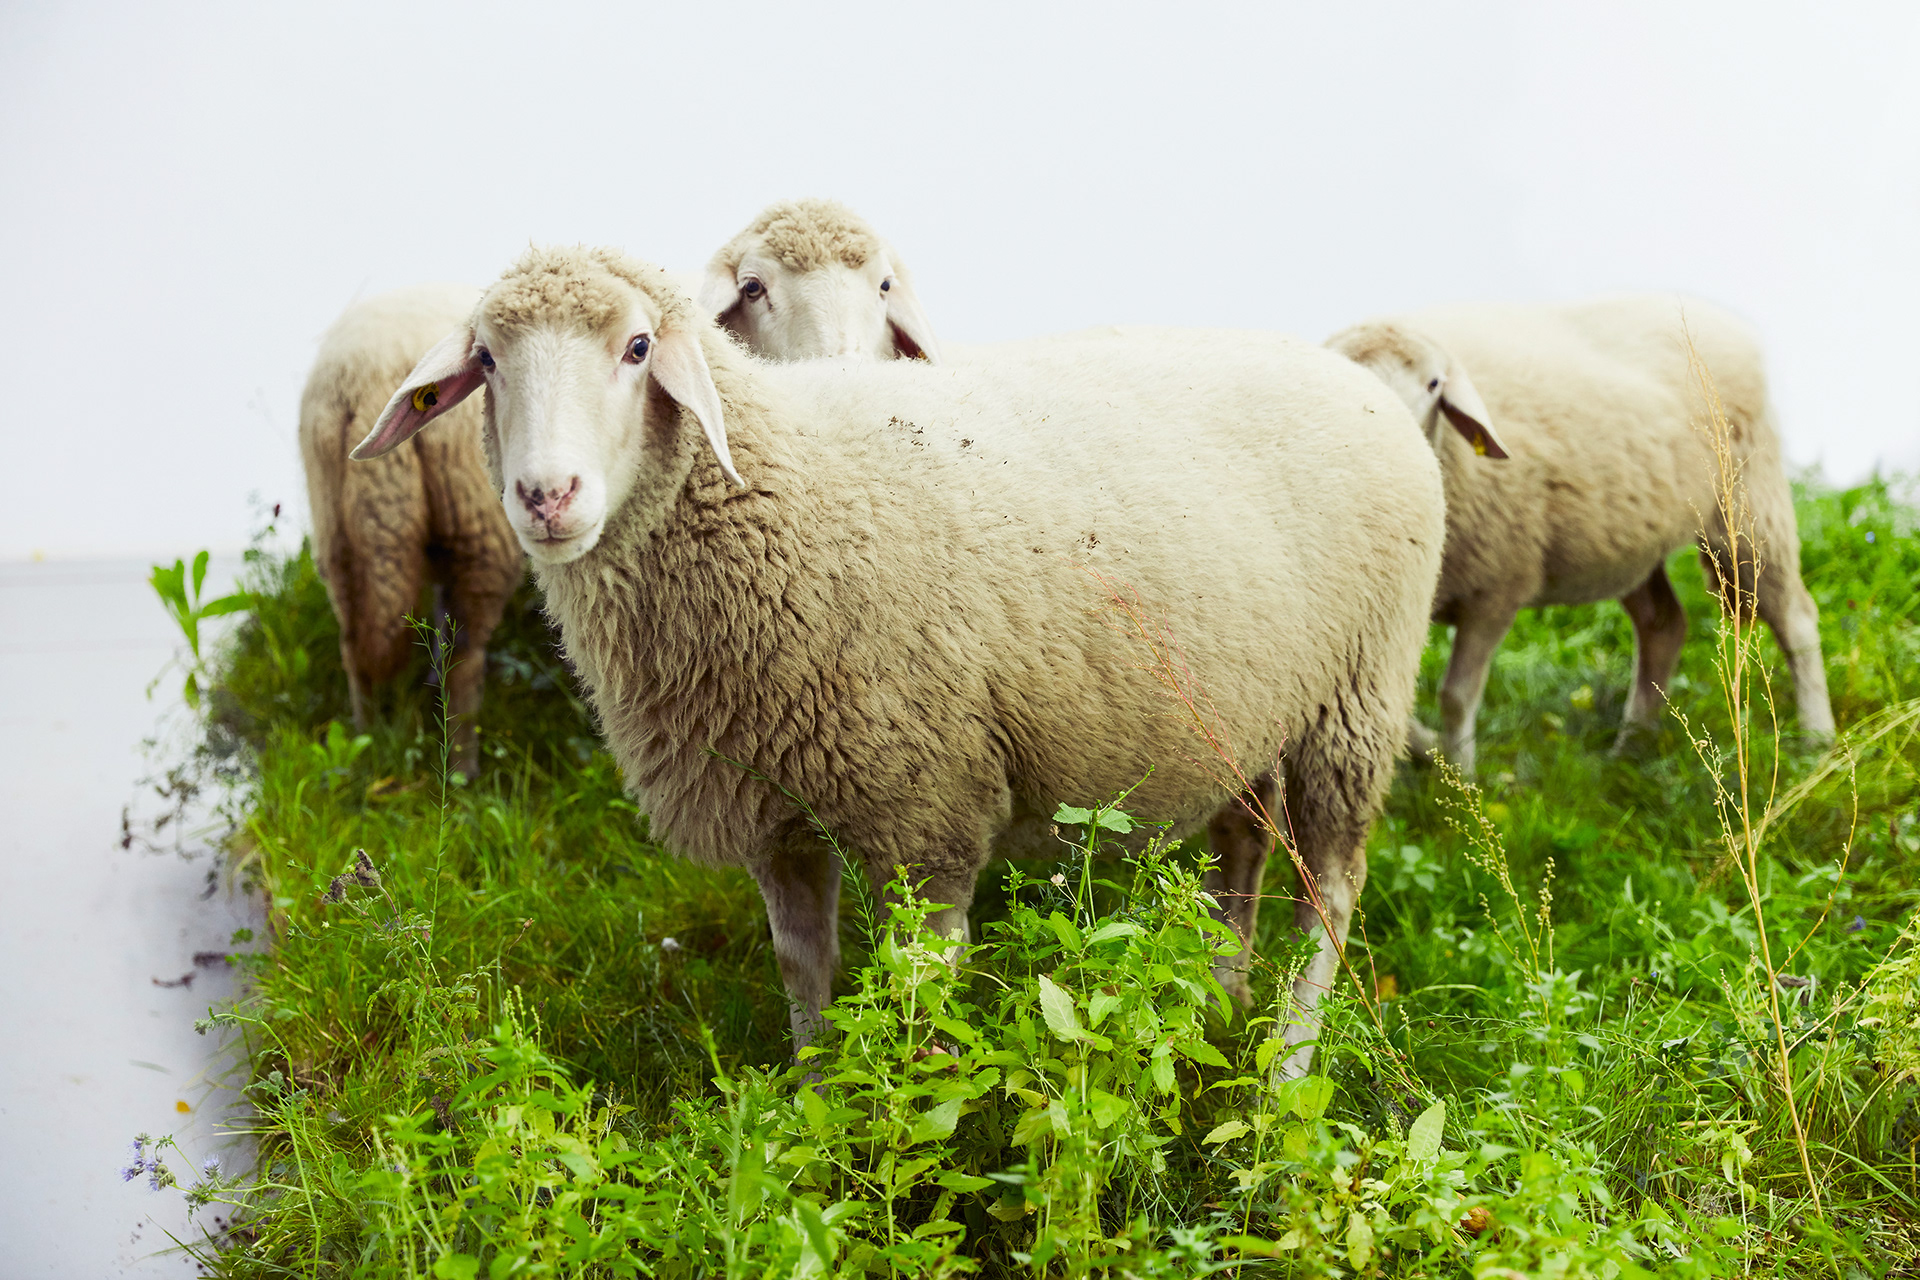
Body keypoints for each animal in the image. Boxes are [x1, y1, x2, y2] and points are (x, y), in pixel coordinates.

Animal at [299, 200, 935, 774]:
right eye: (753, 288)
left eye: (884, 286)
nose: (843, 369)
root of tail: (357, 373)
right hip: (470, 532)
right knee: (464, 656)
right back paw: (461, 772)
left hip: (342, 527)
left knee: (360, 644)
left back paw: (366, 752)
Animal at [349, 244, 1448, 1070]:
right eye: (488, 361)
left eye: (637, 346)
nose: (547, 496)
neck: (780, 490)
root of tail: (1357, 379)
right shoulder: (774, 806)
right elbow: (804, 970)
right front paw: (808, 1101)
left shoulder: (928, 813)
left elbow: (923, 1011)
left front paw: (916, 1157)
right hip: (1253, 706)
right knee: (1242, 853)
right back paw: (1219, 1006)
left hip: (1359, 696)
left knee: (1330, 891)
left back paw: (1289, 1061)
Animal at [1327, 295, 1834, 773]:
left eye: (1434, 384)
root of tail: (1715, 314)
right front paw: (1429, 752)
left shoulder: (1497, 590)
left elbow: (1455, 698)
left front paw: (1463, 779)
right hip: (1630, 542)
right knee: (1663, 624)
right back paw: (1629, 750)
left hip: (1748, 502)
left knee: (1795, 619)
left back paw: (1817, 740)